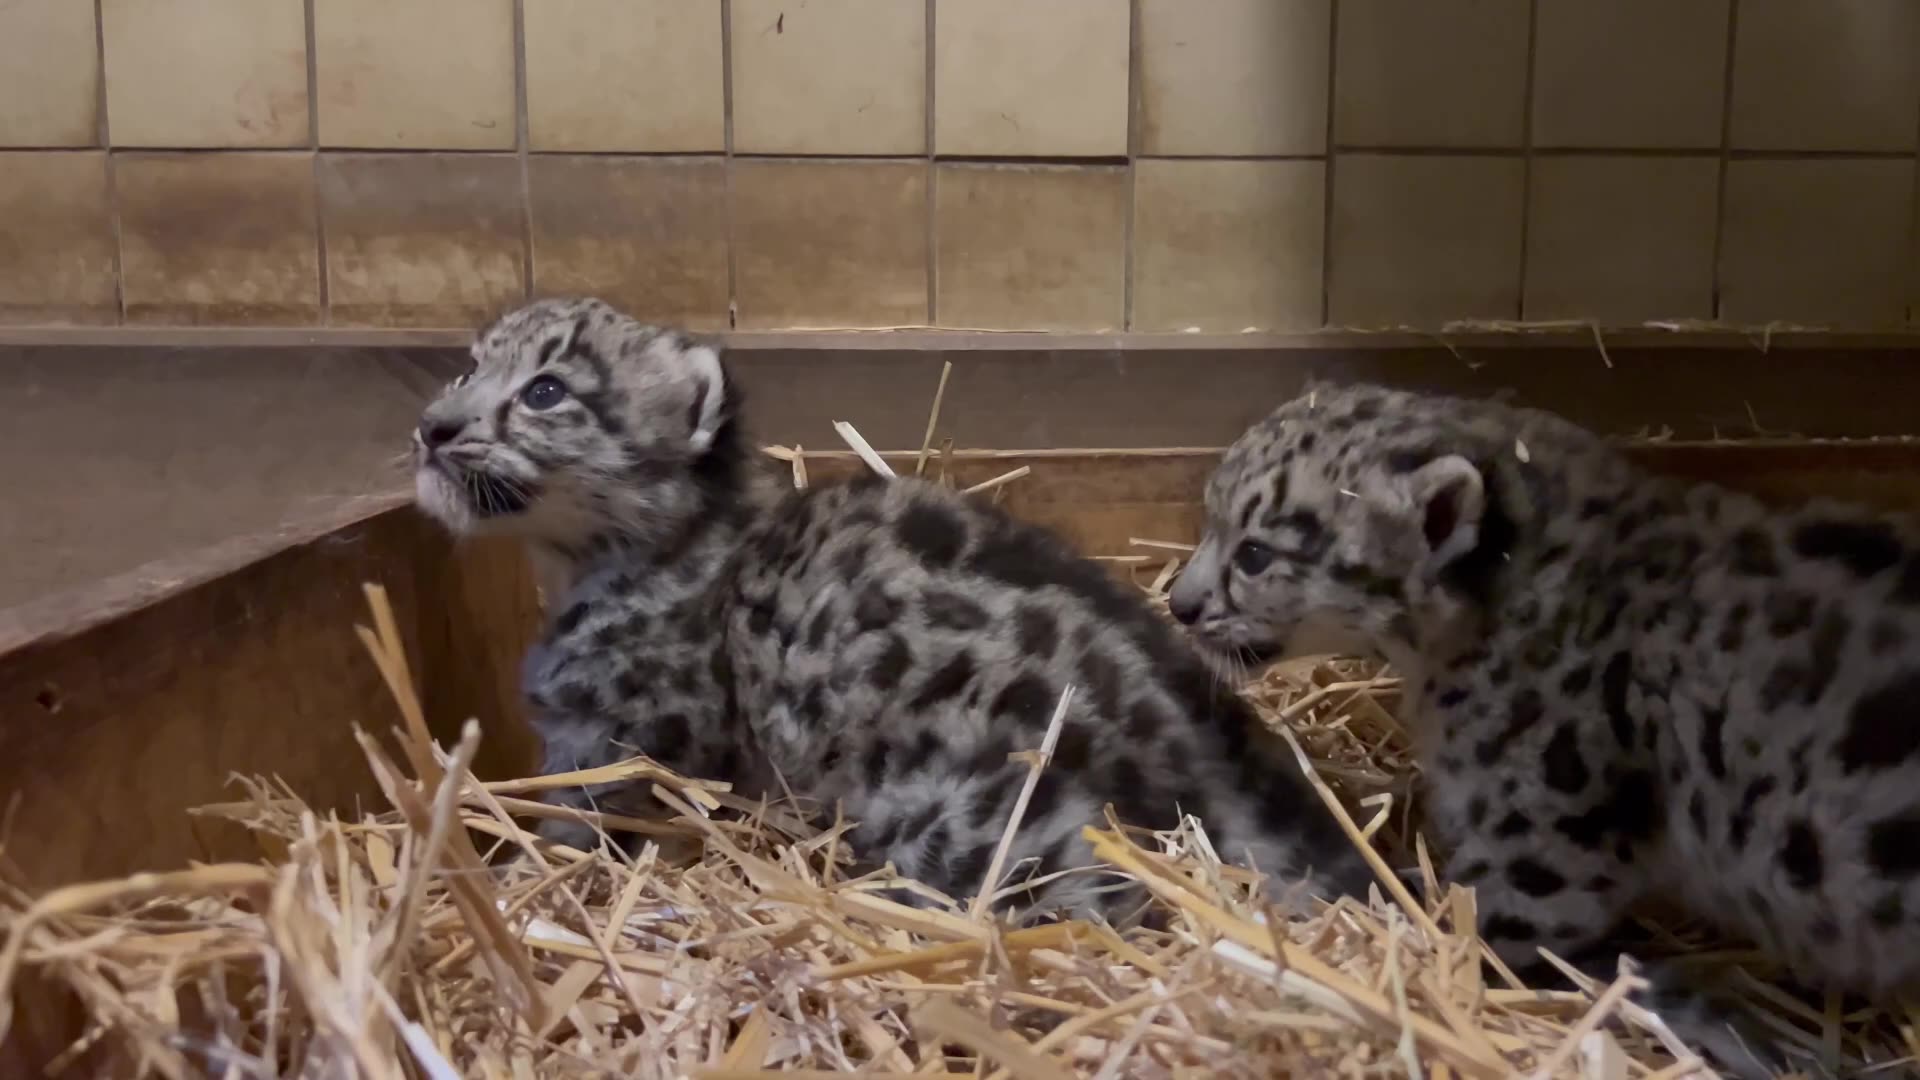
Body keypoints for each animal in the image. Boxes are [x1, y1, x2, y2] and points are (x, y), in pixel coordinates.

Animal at [409, 296, 1368, 923]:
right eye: (469, 364)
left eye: (545, 390)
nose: (432, 426)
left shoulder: (613, 749)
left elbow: (574, 831)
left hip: (978, 825)